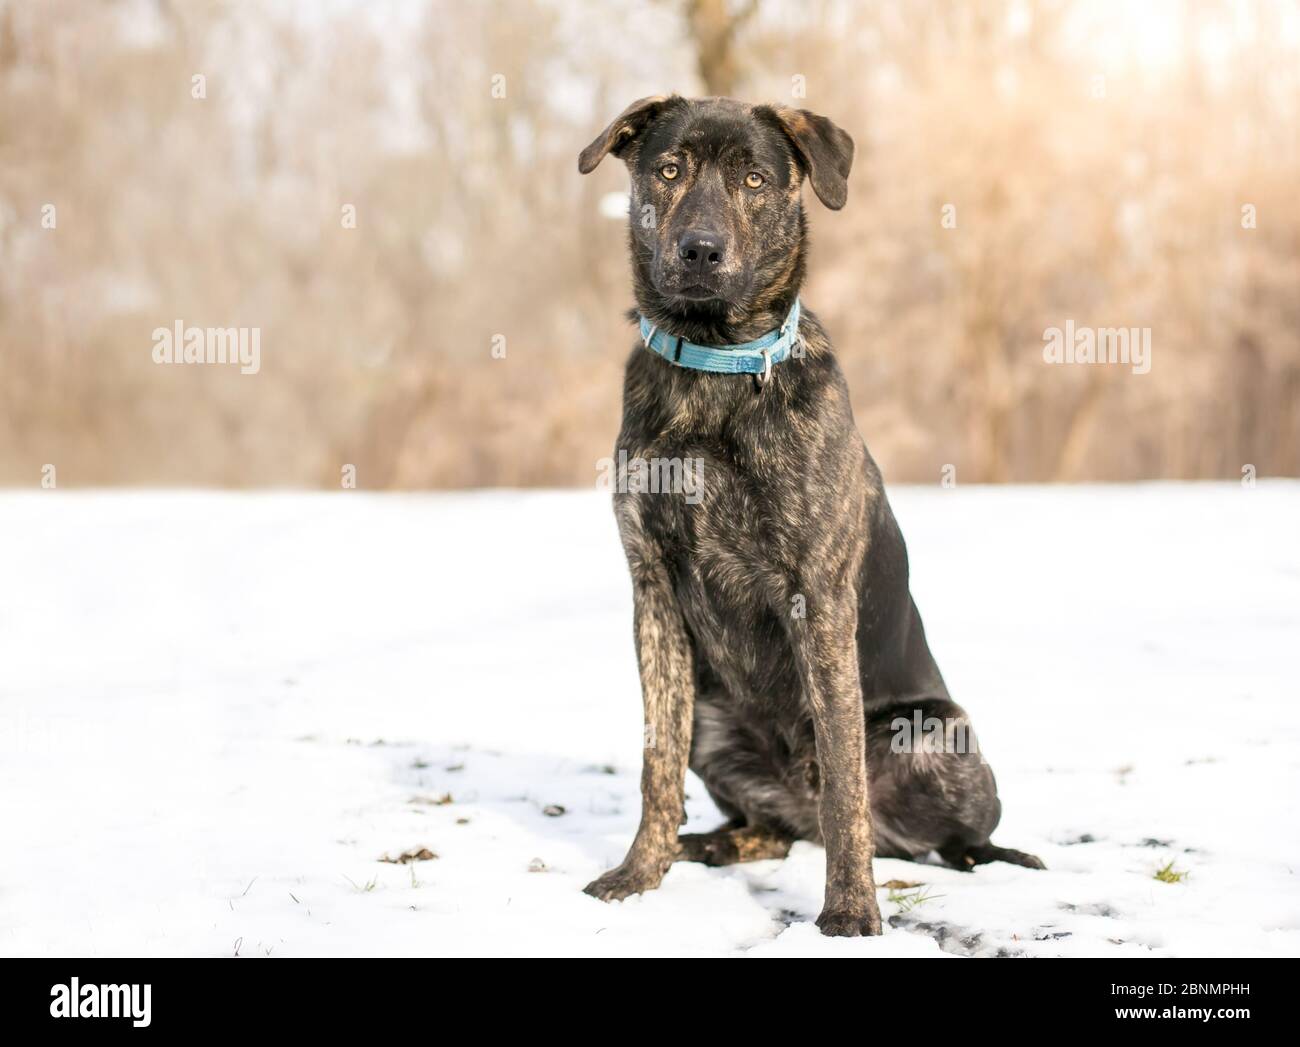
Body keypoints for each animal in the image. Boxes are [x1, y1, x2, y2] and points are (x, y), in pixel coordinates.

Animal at [579, 93, 1045, 936]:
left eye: (754, 178)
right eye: (669, 170)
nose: (699, 250)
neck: (714, 368)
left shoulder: (819, 596)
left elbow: (846, 783)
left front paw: (852, 911)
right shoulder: (652, 591)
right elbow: (655, 763)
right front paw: (638, 873)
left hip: (936, 735)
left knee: (933, 832)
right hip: (713, 723)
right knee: (772, 827)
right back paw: (707, 843)